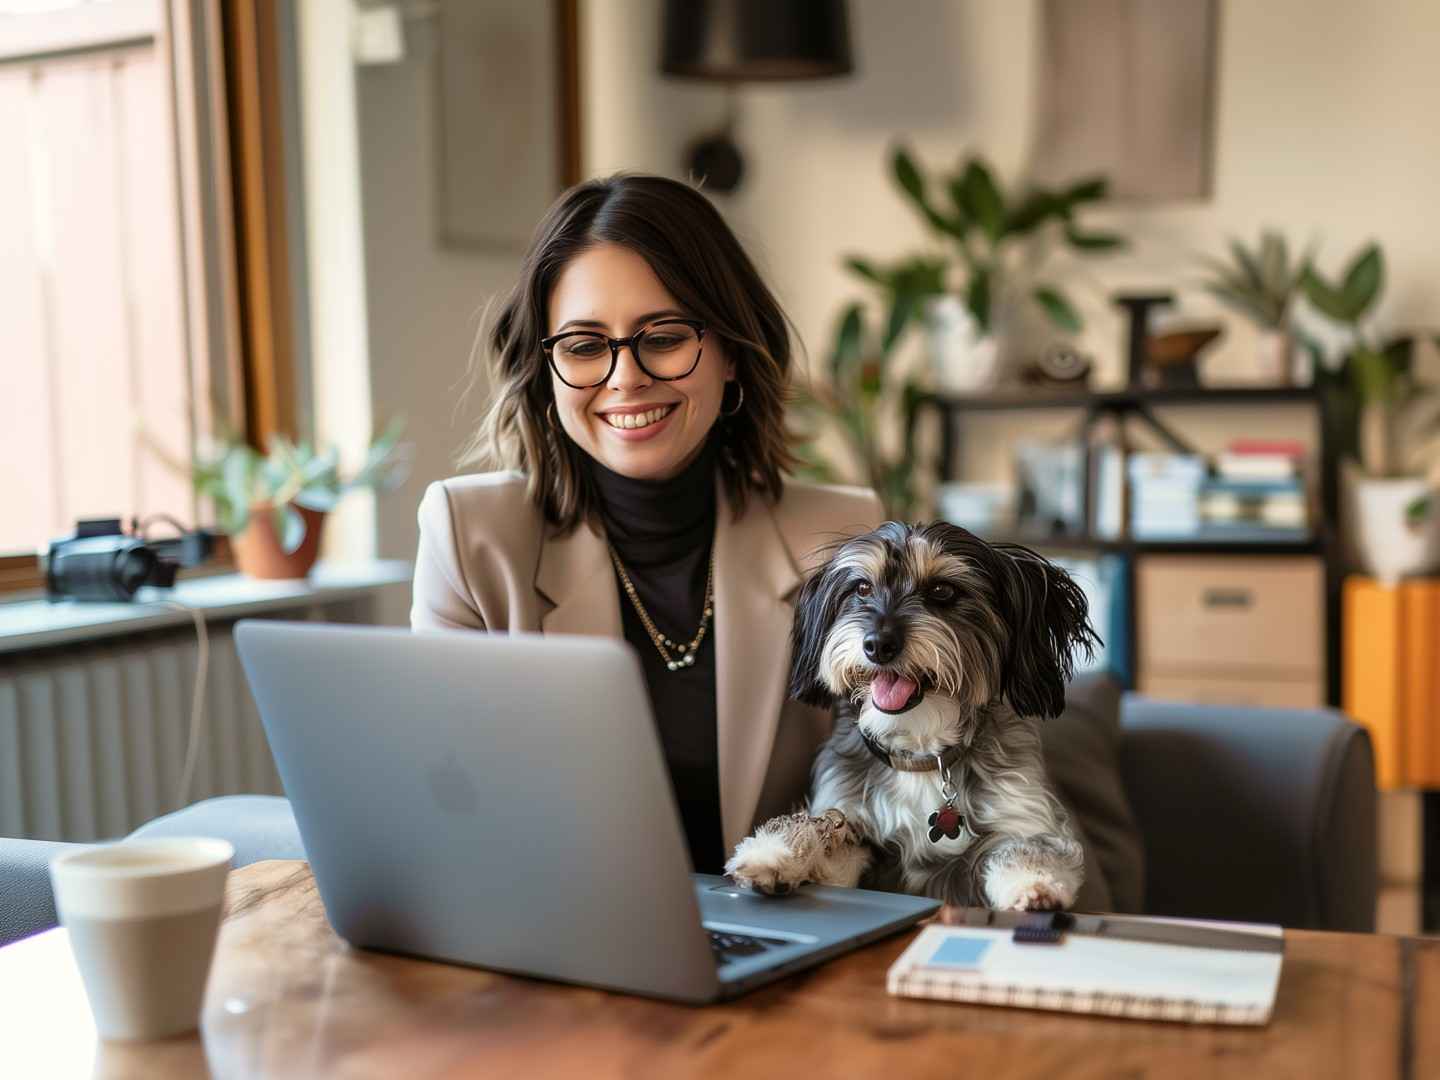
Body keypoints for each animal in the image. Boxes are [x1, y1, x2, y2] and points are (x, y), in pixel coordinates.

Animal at [725, 524, 1094, 915]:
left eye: (942, 590)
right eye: (862, 588)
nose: (878, 645)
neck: (920, 752)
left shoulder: (1019, 816)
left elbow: (1025, 848)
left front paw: (1036, 884)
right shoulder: (853, 825)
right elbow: (819, 827)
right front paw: (771, 853)